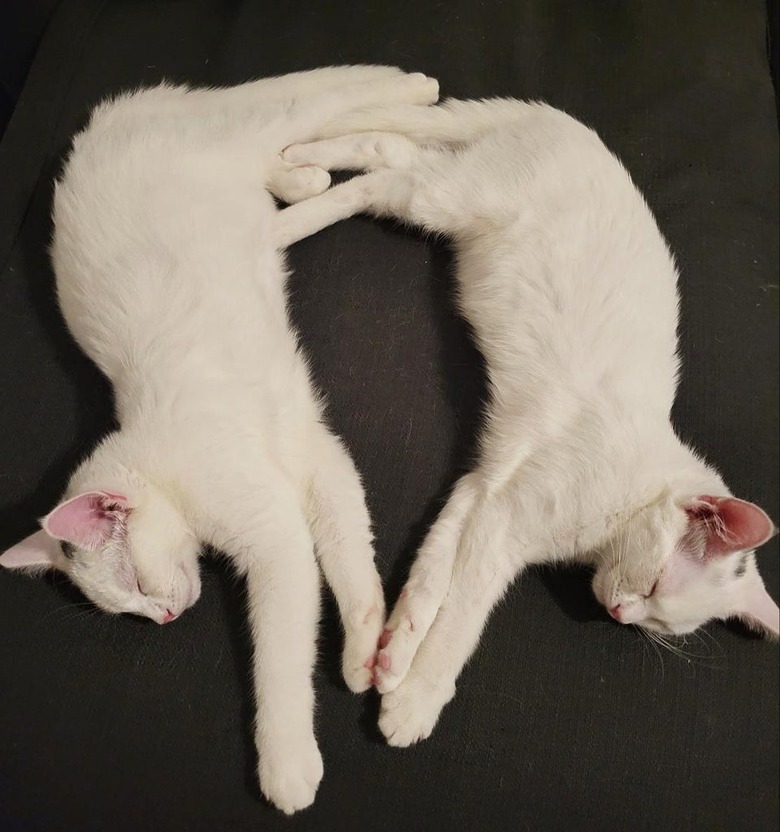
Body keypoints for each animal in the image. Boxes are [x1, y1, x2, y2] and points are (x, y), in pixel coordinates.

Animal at [0, 68, 438, 816]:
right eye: (128, 610)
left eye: (136, 584)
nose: (164, 618)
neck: (157, 455)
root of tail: (107, 119)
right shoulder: (314, 447)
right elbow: (348, 549)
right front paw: (362, 646)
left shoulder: (275, 530)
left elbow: (278, 656)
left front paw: (286, 763)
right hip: (249, 197)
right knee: (291, 199)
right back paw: (317, 174)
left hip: (256, 123)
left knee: (326, 91)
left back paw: (411, 90)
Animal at [278, 97, 776, 748]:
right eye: (653, 588)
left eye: (658, 622)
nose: (619, 614)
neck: (633, 494)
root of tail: (565, 122)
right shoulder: (504, 522)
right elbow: (464, 614)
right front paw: (417, 700)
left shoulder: (482, 486)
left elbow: (432, 574)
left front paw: (396, 654)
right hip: (452, 198)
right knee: (386, 171)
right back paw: (282, 215)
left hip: (455, 193)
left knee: (389, 149)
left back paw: (302, 162)